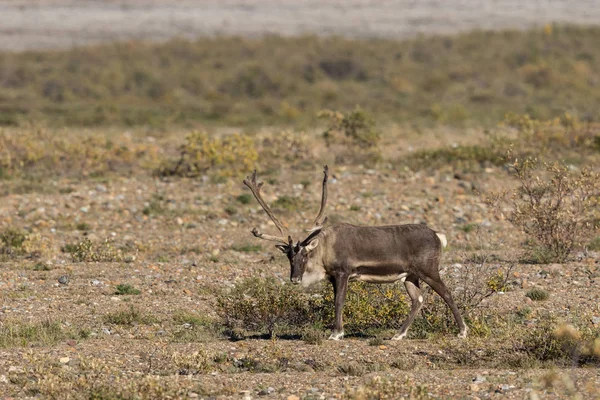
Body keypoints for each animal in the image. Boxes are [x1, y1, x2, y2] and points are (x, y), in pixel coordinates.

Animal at [241, 166, 466, 340]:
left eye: (305, 255)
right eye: (289, 256)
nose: (295, 279)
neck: (324, 249)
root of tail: (437, 235)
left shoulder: (343, 272)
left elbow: (339, 301)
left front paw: (336, 333)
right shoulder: (333, 277)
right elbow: (336, 300)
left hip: (428, 270)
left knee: (446, 293)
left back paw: (462, 331)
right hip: (410, 276)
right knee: (417, 299)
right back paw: (398, 334)